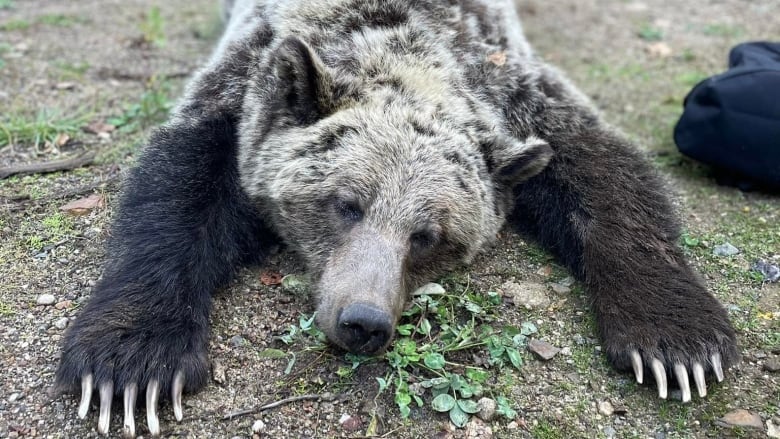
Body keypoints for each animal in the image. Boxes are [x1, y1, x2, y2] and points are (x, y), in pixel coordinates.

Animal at [54, 0, 736, 436]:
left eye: (427, 236)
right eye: (345, 204)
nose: (364, 321)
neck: (401, 44)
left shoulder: (512, 87)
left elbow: (607, 174)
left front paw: (677, 344)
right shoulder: (245, 80)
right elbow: (177, 190)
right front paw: (132, 365)